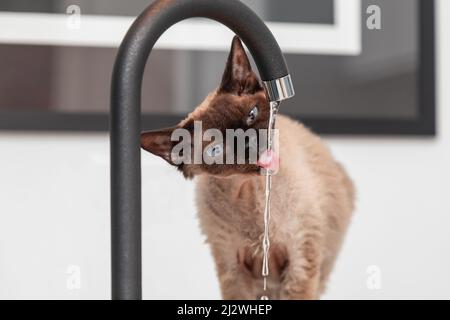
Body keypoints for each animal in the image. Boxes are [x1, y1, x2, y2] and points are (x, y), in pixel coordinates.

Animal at [141, 37, 356, 300]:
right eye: (216, 150)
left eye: (251, 115)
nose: (247, 143)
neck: (251, 195)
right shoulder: (233, 268)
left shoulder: (299, 263)